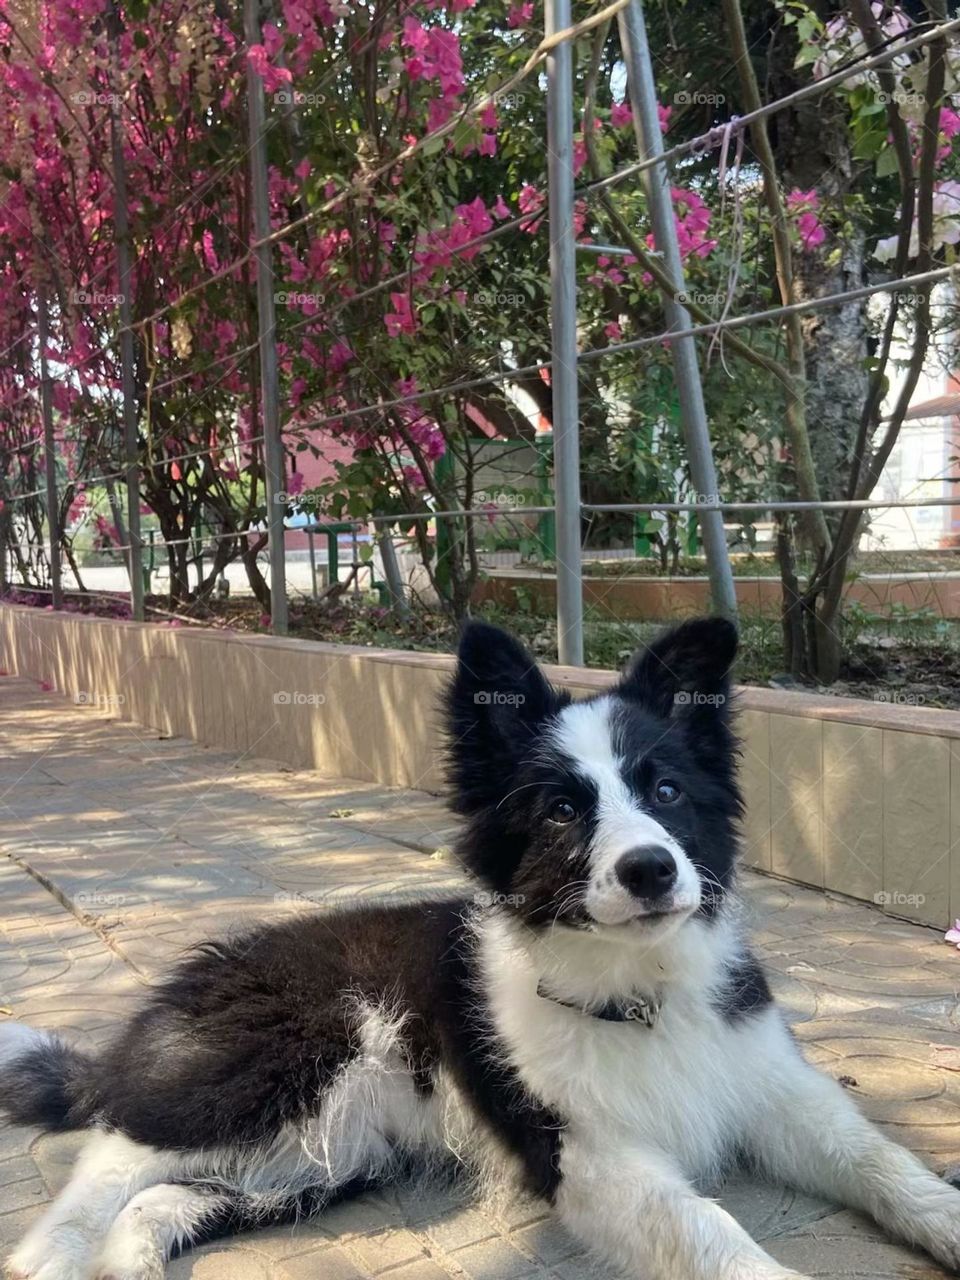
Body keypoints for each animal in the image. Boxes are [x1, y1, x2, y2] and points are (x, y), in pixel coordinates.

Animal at [1, 614, 960, 1274]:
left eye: (666, 790)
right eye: (563, 809)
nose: (652, 870)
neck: (639, 985)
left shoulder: (776, 1090)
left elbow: (879, 1157)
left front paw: (946, 1221)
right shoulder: (584, 1155)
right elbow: (707, 1229)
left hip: (327, 1152)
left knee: (165, 1194)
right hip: (279, 1062)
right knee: (116, 1152)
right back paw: (53, 1253)